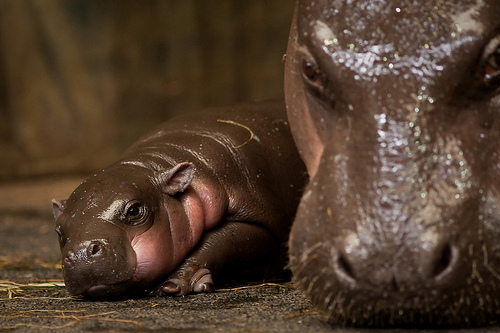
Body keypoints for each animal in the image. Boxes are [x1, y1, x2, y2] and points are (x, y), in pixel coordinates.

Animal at [52, 102, 306, 296]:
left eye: (134, 210)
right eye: (58, 230)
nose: (81, 253)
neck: (154, 162)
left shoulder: (261, 225)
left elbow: (220, 240)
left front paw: (173, 285)